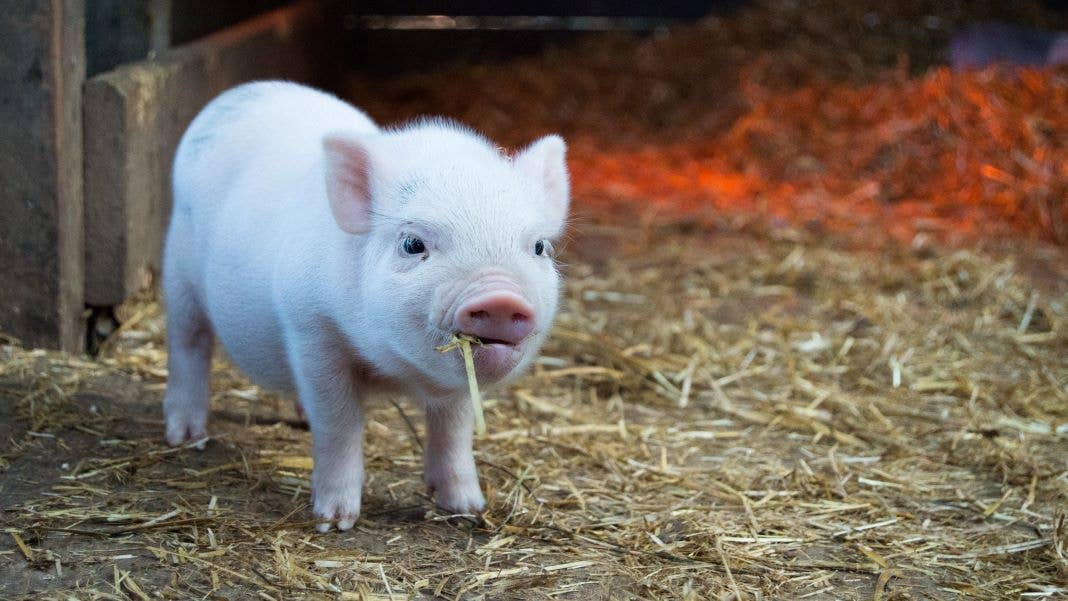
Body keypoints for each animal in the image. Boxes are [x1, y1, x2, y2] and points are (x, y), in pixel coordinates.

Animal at [162, 81, 569, 532]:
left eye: (539, 247)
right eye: (412, 244)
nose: (500, 297)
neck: (394, 371)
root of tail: (239, 93)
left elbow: (454, 428)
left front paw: (467, 508)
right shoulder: (310, 330)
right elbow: (339, 423)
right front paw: (334, 522)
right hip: (178, 272)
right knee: (188, 344)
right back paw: (186, 437)